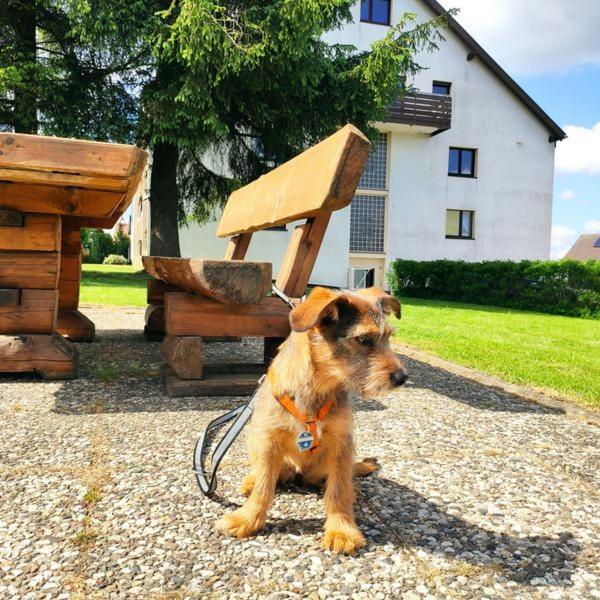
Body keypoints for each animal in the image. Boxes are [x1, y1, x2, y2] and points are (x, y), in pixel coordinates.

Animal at [216, 286, 408, 552]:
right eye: (363, 340)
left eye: (388, 337)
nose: (403, 377)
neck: (318, 386)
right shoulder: (268, 439)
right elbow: (265, 486)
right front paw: (248, 518)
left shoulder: (342, 442)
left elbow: (338, 491)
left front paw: (341, 529)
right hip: (255, 440)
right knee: (268, 473)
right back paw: (252, 481)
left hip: (322, 468)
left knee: (338, 479)